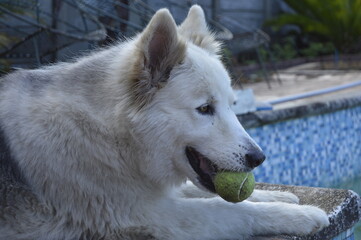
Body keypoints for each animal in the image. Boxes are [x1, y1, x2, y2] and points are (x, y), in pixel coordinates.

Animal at [0, 4, 328, 239]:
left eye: (233, 106)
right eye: (205, 109)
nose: (258, 158)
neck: (108, 131)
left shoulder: (151, 194)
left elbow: (204, 192)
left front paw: (280, 195)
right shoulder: (152, 215)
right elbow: (230, 208)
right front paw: (300, 216)